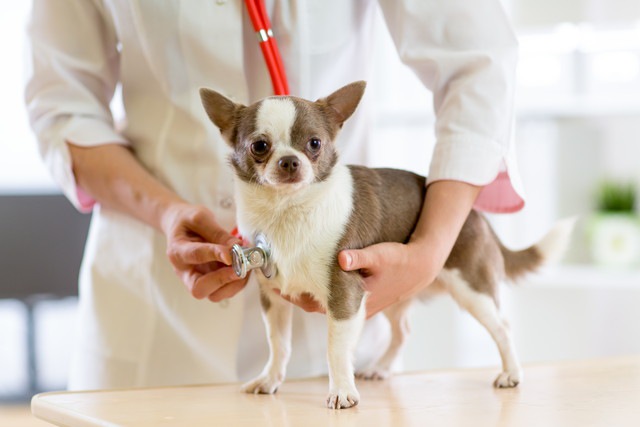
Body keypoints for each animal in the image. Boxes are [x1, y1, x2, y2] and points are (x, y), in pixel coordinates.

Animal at [199, 81, 568, 412]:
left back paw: (511, 373)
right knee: (402, 330)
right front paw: (270, 380)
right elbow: (278, 344)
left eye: (314, 143)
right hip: (395, 293)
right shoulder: (274, 299)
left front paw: (341, 392)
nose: (290, 161)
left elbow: (336, 349)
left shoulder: (345, 294)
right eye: (259, 146)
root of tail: (477, 214)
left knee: (502, 326)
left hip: (470, 286)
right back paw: (381, 367)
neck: (286, 212)